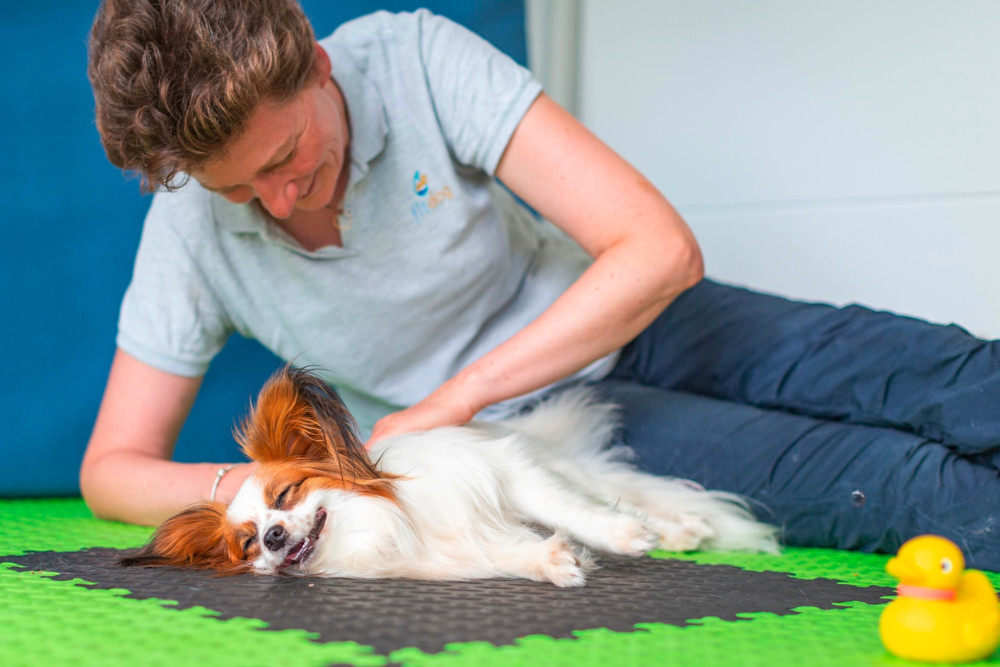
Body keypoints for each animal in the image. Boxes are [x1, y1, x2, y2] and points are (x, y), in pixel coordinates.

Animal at [123, 368, 780, 588]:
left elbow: (573, 513)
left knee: (610, 496)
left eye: (286, 494)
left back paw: (676, 528)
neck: (384, 522)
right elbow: (511, 554)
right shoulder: (455, 554)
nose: (276, 536)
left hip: (563, 467)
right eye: (248, 545)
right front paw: (551, 562)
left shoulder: (511, 474)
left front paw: (622, 537)